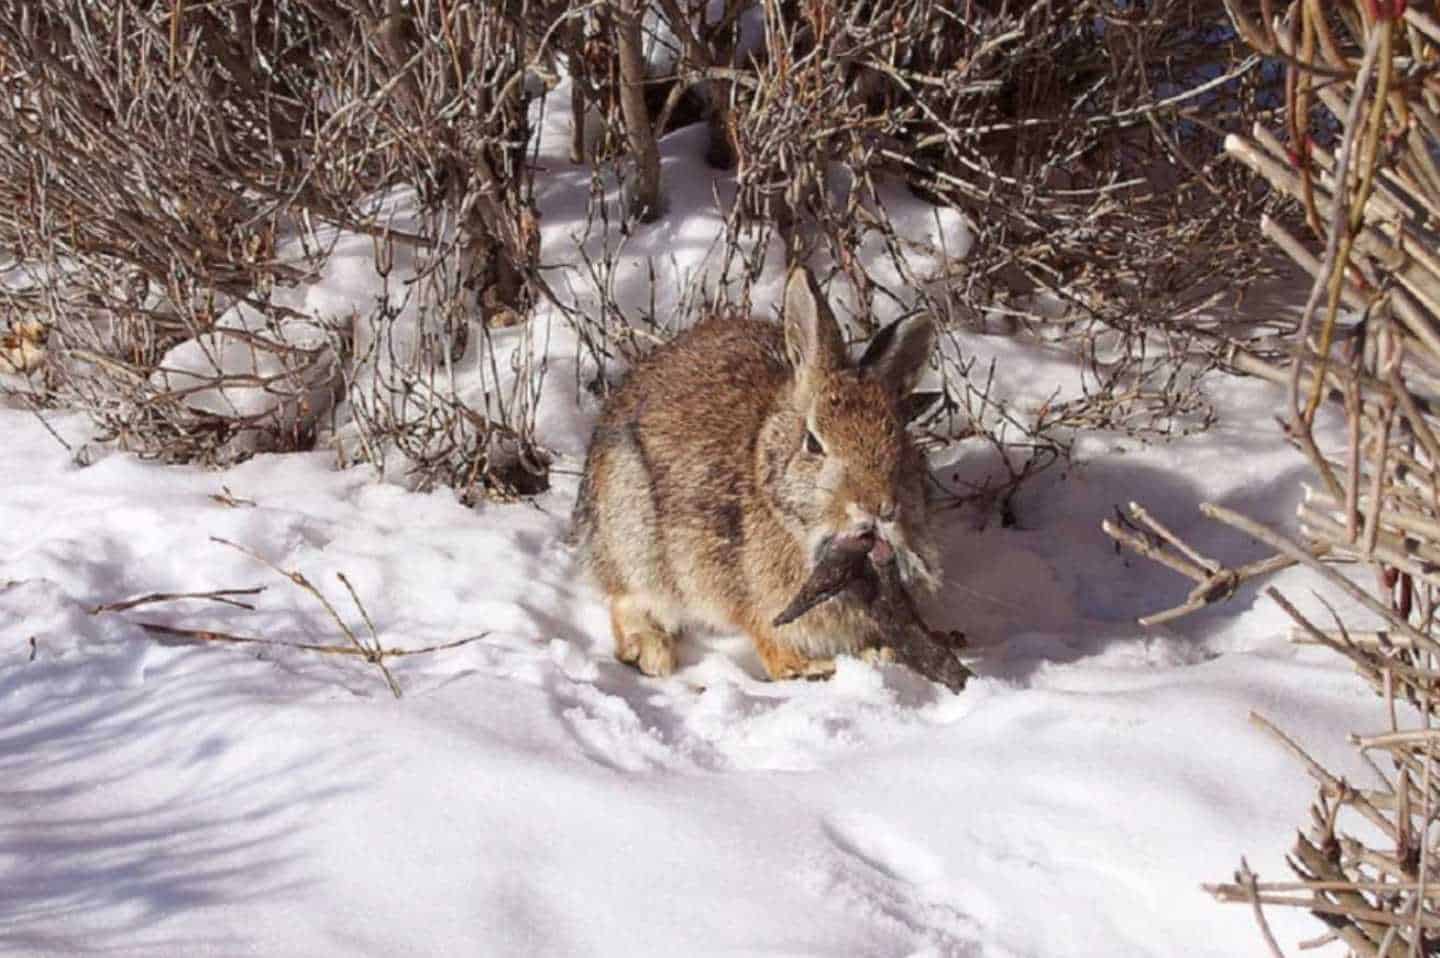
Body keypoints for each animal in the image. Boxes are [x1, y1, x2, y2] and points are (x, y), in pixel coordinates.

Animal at [573, 265, 944, 677]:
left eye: (901, 441)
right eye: (813, 444)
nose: (877, 507)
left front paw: (880, 655)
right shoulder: (752, 600)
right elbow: (770, 644)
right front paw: (810, 668)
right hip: (633, 534)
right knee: (626, 598)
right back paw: (651, 652)